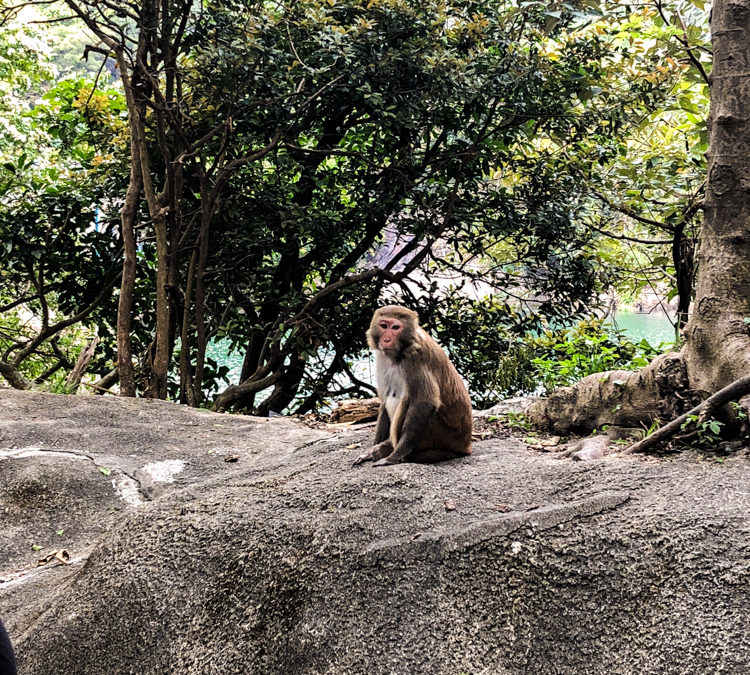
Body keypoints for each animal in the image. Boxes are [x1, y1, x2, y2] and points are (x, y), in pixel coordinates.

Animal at [354, 304, 472, 468]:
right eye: (383, 326)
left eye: (395, 327)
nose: (387, 339)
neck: (401, 350)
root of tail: (465, 446)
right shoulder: (382, 358)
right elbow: (384, 401)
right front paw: (371, 451)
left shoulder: (415, 358)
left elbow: (425, 402)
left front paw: (394, 457)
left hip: (441, 435)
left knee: (407, 399)